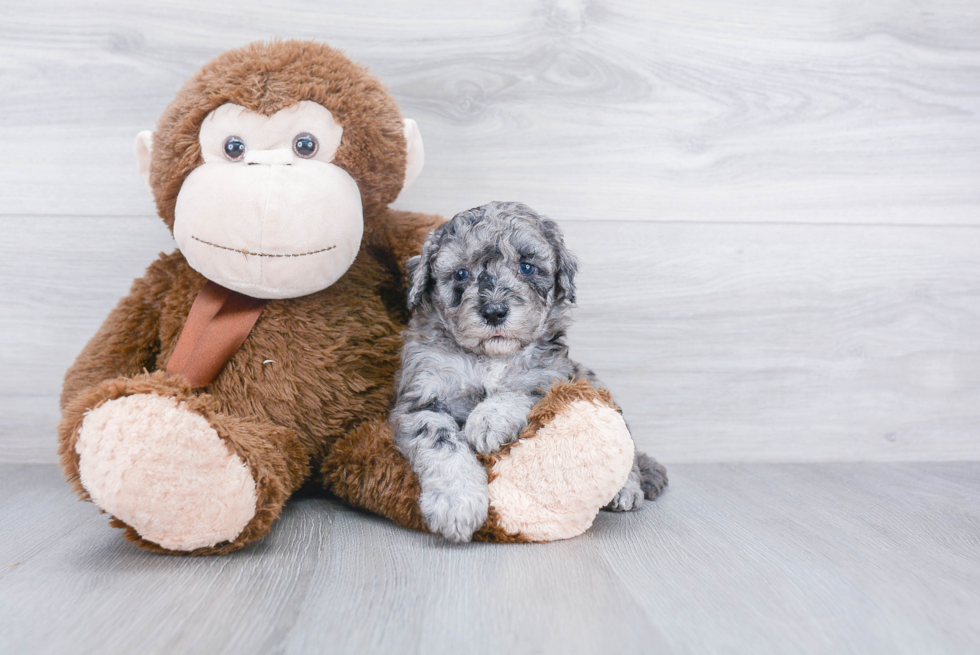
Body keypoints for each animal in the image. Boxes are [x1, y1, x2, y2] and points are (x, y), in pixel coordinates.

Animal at [390, 201, 668, 544]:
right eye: (461, 274)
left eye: (526, 267)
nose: (494, 311)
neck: (490, 358)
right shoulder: (422, 399)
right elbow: (442, 445)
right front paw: (456, 504)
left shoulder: (550, 376)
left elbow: (516, 392)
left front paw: (487, 421)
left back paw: (626, 489)